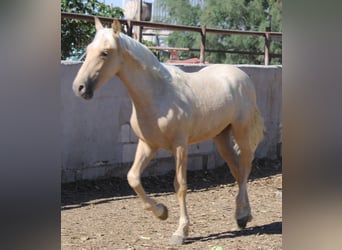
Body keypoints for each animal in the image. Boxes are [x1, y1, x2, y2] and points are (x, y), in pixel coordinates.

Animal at [72, 18, 264, 245]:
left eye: (105, 52)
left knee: (245, 166)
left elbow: (180, 185)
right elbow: (133, 177)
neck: (158, 94)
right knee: (237, 170)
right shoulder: (148, 145)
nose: (80, 88)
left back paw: (242, 215)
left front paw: (180, 232)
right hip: (221, 137)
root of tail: (242, 76)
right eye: (88, 49)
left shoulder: (180, 146)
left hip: (242, 132)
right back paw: (243, 216)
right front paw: (161, 212)